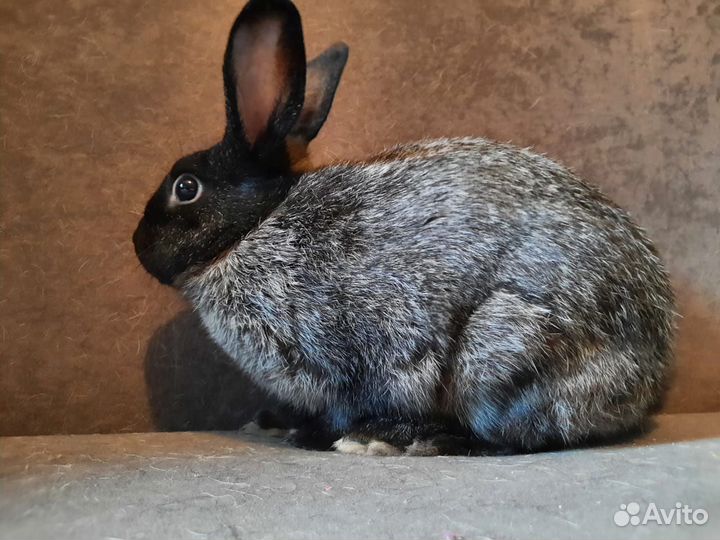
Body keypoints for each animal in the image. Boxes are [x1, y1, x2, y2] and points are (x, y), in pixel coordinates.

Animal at [133, 0, 675, 455]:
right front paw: (273, 421)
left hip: (498, 354)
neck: (254, 227)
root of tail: (649, 378)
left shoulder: (343, 357)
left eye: (185, 187)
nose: (138, 245)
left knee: (512, 437)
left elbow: (343, 406)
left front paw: (311, 435)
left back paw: (410, 439)